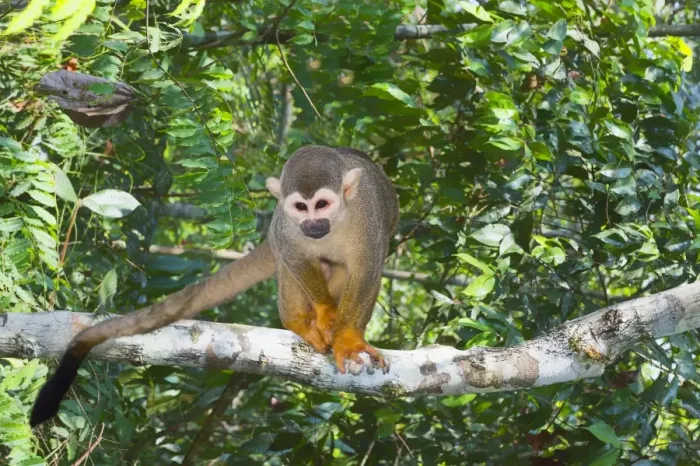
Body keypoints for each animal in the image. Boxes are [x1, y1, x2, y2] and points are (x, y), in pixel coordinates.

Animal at [30, 145, 399, 427]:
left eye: (322, 204)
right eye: (301, 207)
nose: (313, 224)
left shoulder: (367, 218)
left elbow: (367, 270)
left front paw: (348, 340)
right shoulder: (285, 223)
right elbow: (293, 254)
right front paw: (324, 313)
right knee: (291, 260)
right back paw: (296, 320)